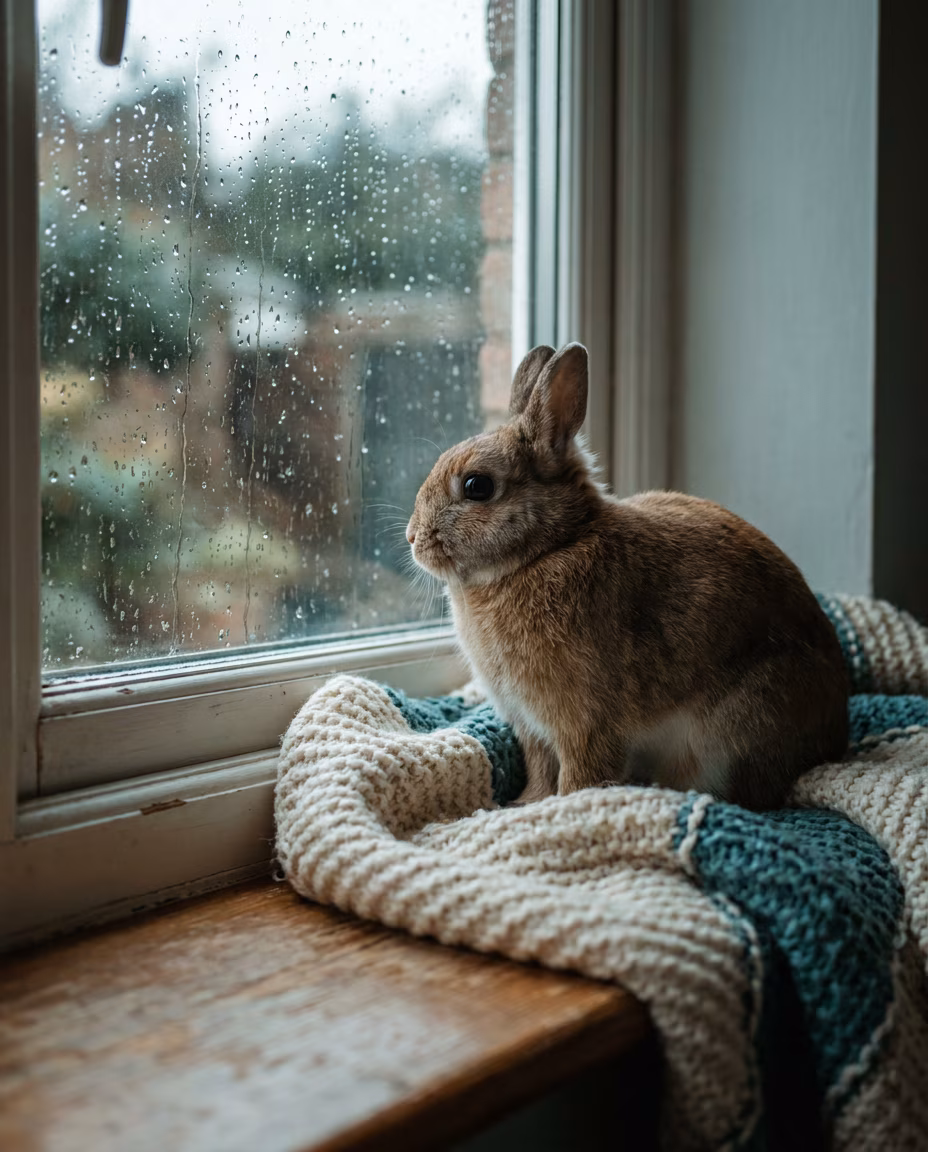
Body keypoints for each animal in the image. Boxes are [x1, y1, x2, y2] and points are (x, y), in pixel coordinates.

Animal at [406, 342, 849, 809]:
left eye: (477, 486)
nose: (412, 537)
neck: (550, 547)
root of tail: (835, 737)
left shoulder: (587, 724)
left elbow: (579, 776)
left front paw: (561, 807)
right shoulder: (532, 730)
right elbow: (540, 770)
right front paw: (525, 804)